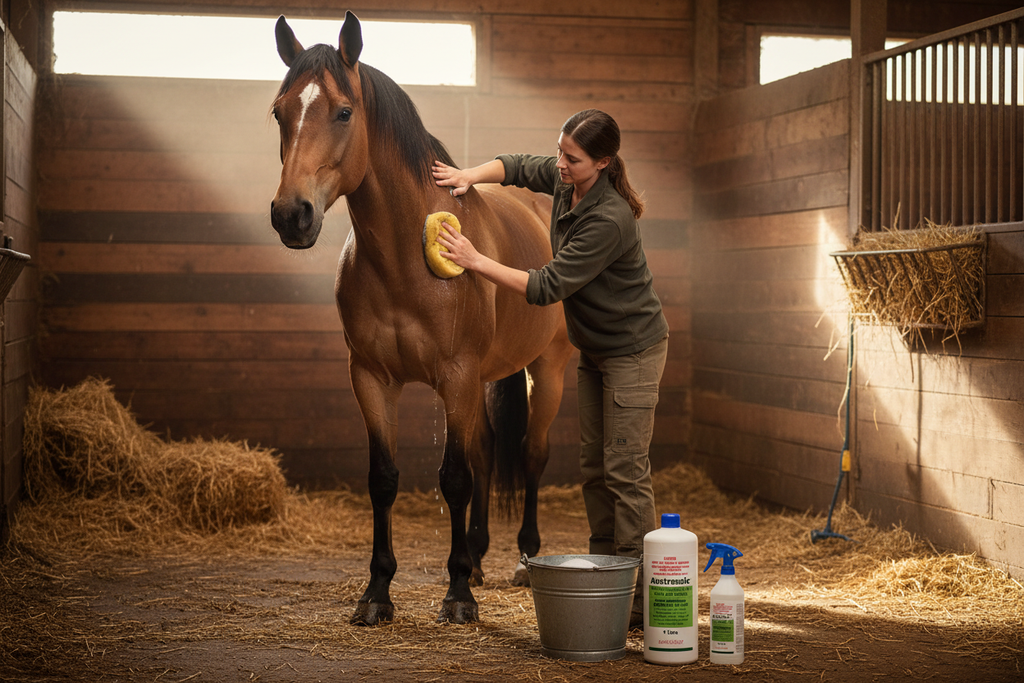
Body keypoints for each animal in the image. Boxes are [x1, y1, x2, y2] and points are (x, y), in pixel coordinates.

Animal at [269, 11, 573, 625]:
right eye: (279, 111)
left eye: (343, 111)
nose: (292, 214)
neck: (404, 259)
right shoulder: (372, 379)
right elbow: (384, 480)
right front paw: (377, 593)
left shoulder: (455, 376)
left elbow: (453, 478)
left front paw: (457, 596)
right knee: (486, 451)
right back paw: (477, 557)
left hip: (545, 370)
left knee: (531, 454)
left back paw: (524, 560)